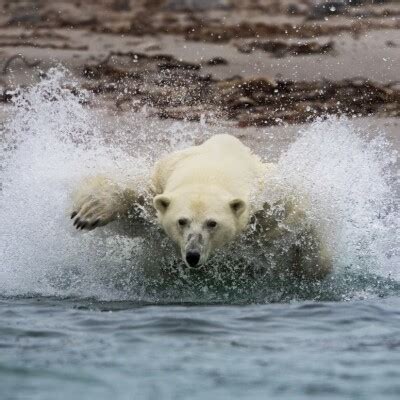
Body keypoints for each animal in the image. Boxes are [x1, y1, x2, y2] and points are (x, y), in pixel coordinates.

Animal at [70, 134, 332, 282]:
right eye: (181, 221)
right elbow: (133, 203)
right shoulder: (158, 186)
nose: (192, 255)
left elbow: (296, 218)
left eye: (212, 223)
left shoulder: (264, 204)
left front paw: (311, 267)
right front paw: (87, 213)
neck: (210, 170)